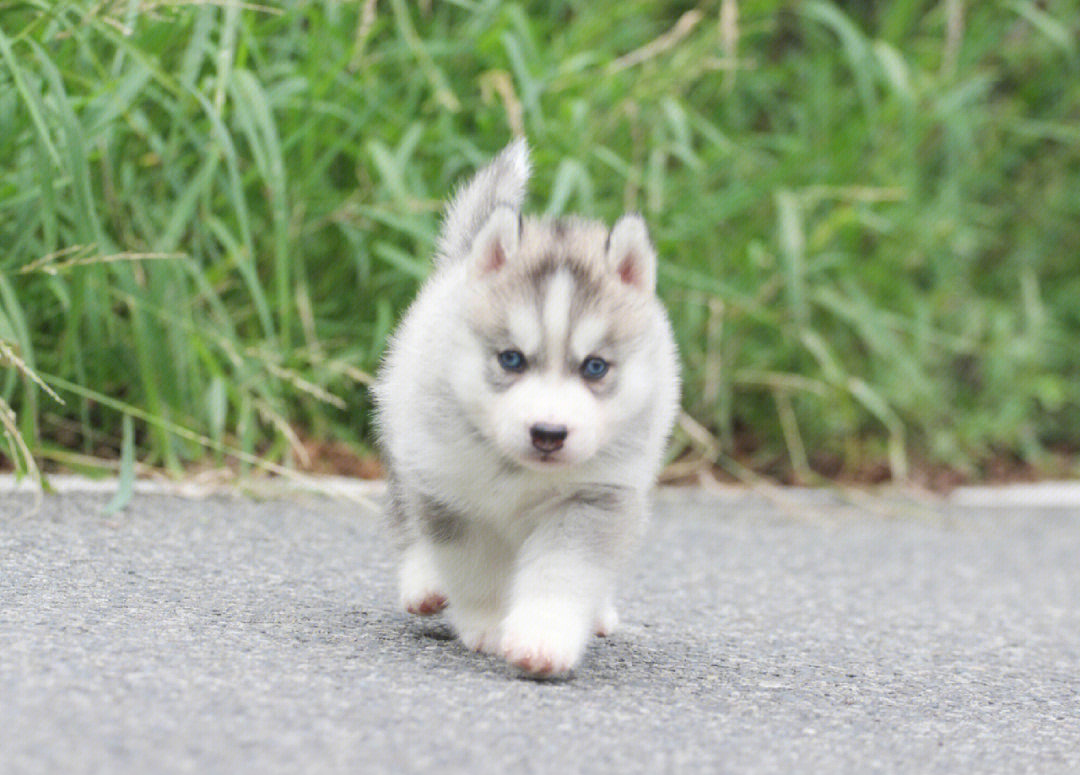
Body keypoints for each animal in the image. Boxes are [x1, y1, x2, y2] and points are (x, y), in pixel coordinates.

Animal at [371, 141, 673, 682]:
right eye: (511, 359)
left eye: (595, 367)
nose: (548, 433)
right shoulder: (449, 491)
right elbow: (473, 567)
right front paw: (489, 625)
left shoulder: (594, 498)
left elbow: (564, 574)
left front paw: (542, 641)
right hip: (403, 434)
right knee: (406, 516)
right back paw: (423, 583)